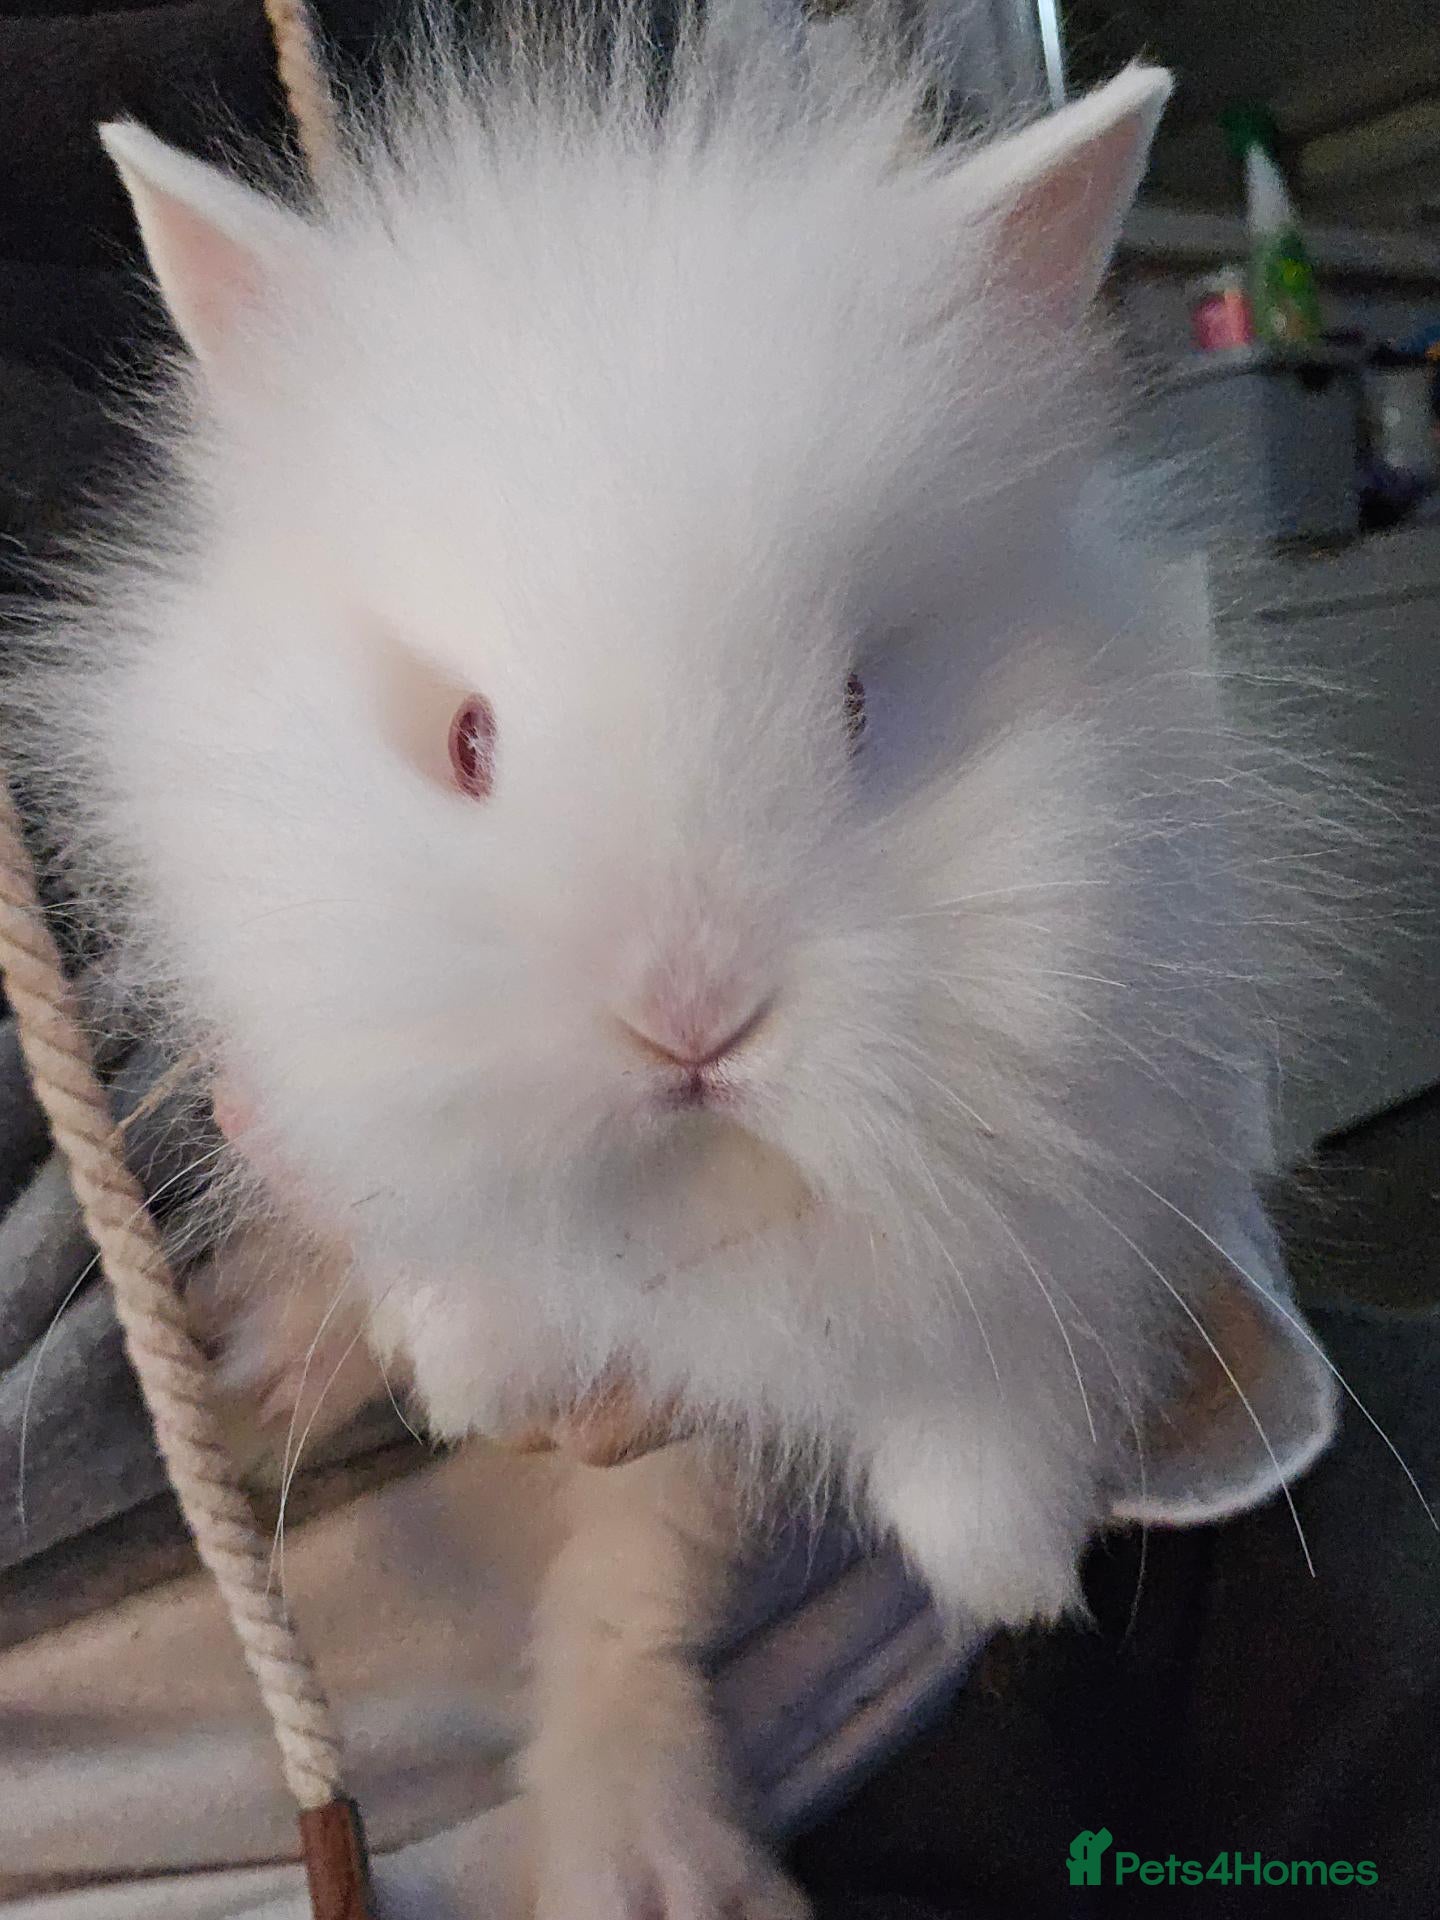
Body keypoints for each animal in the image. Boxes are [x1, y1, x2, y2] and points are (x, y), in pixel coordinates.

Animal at [12, 8, 1345, 1914]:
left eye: (860, 701)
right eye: (470, 743)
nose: (693, 1021)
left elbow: (989, 1340)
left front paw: (1003, 1555)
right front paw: (477, 1361)